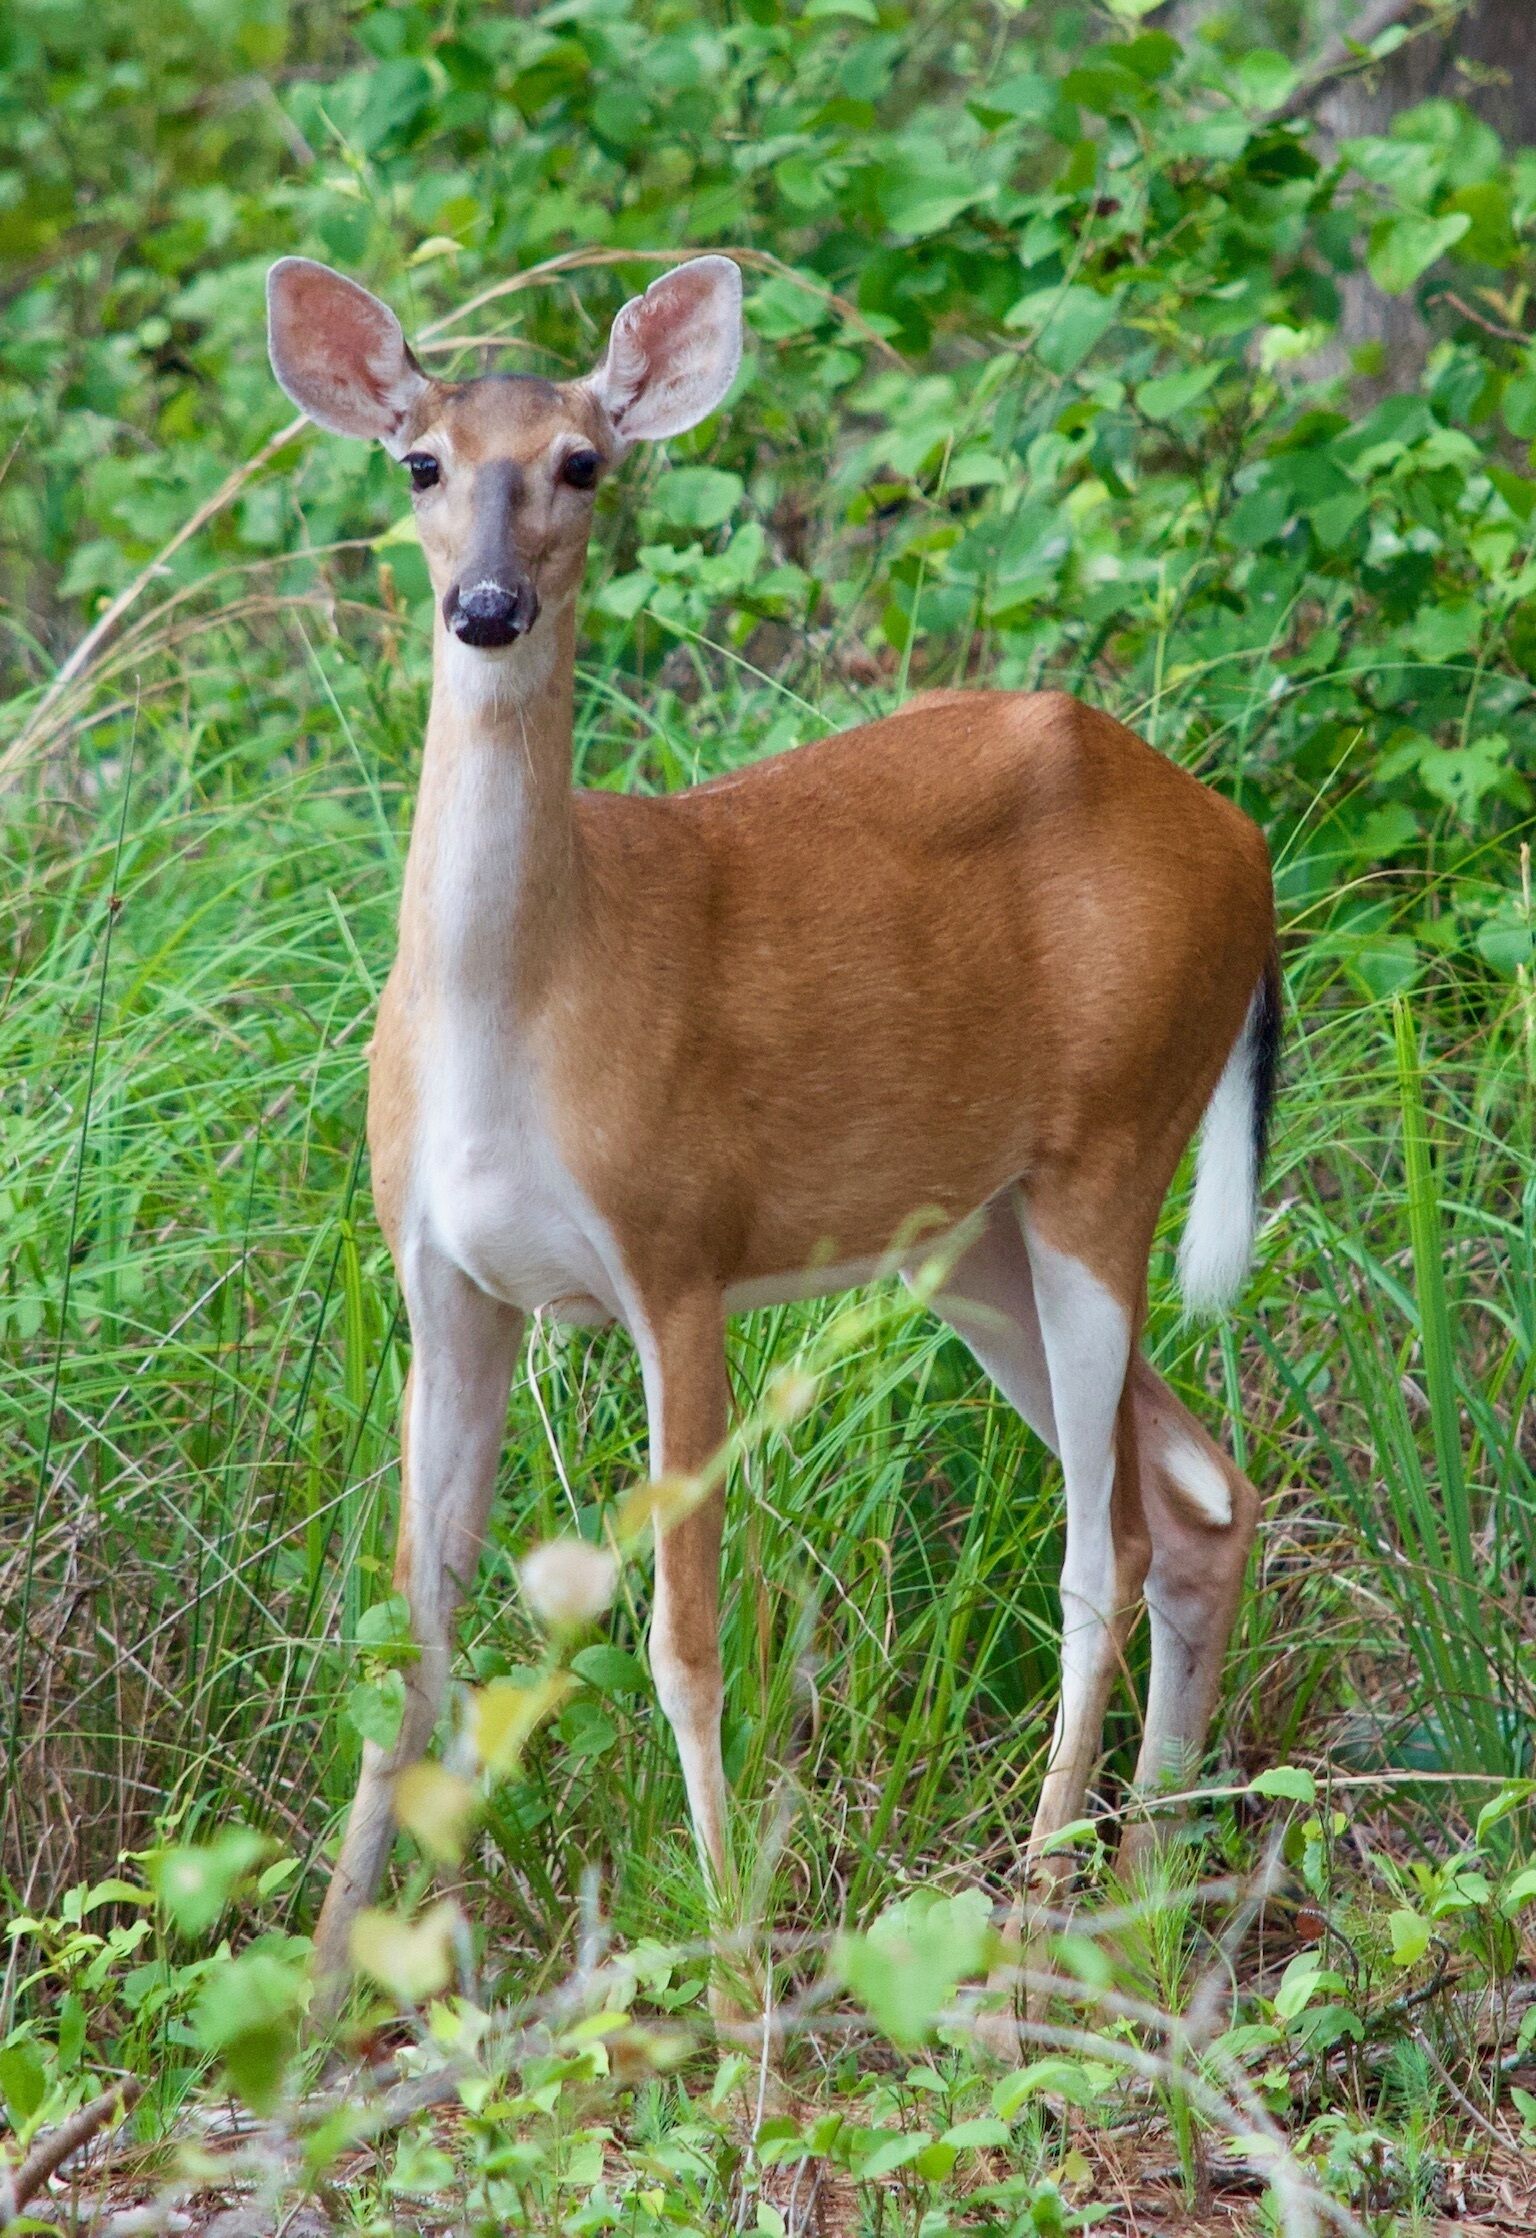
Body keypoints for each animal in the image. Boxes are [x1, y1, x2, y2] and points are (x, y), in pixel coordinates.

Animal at [265, 251, 1281, 2024]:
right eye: (420, 464)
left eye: (583, 462)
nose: (486, 608)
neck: (522, 1012)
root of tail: (1245, 843)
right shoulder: (445, 1276)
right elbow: (411, 1636)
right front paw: (339, 1994)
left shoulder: (678, 1251)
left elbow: (683, 1634)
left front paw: (734, 1965)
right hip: (974, 1237)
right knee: (1203, 1496)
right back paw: (1145, 1889)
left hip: (1109, 1152)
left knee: (1107, 1544)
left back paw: (1038, 1904)